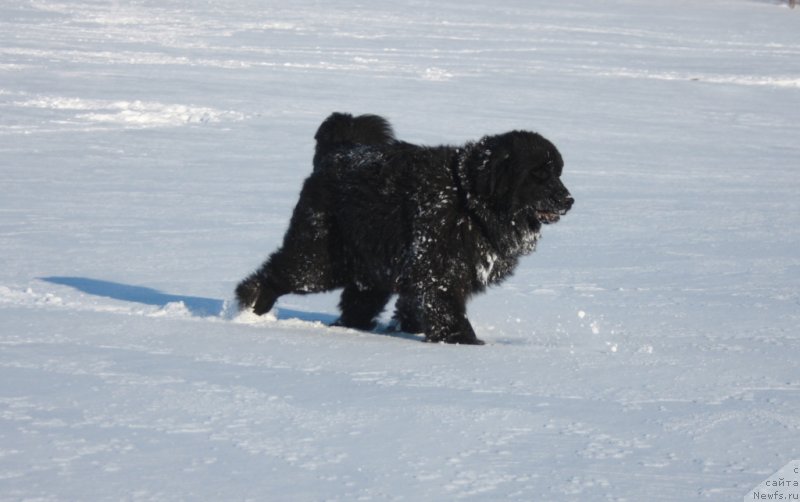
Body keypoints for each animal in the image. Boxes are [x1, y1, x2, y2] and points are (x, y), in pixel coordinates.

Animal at [234, 113, 572, 346]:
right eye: (539, 174)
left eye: (558, 172)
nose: (568, 200)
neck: (470, 200)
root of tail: (337, 153)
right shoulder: (439, 271)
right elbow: (447, 309)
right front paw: (463, 341)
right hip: (321, 261)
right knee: (278, 275)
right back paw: (251, 308)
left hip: (369, 266)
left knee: (357, 302)